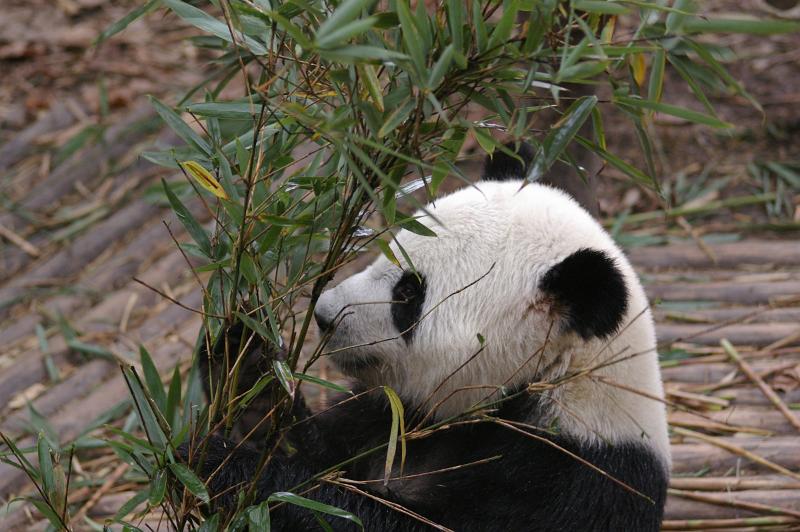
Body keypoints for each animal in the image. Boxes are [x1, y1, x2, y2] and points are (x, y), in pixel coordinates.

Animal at [185, 144, 670, 531]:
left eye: (409, 294)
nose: (324, 316)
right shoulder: (390, 416)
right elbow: (326, 450)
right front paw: (245, 366)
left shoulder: (570, 480)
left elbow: (372, 518)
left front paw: (235, 470)